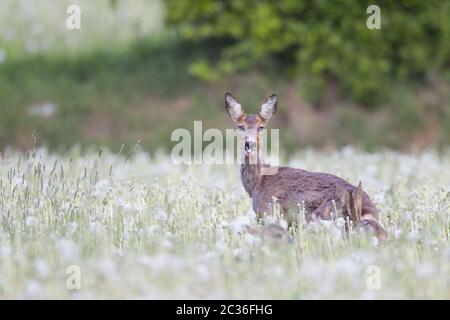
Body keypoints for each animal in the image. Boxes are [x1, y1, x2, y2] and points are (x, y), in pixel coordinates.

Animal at [225, 91, 386, 241]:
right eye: (240, 126)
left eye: (261, 127)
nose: (249, 145)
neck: (257, 183)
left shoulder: (267, 212)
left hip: (322, 215)